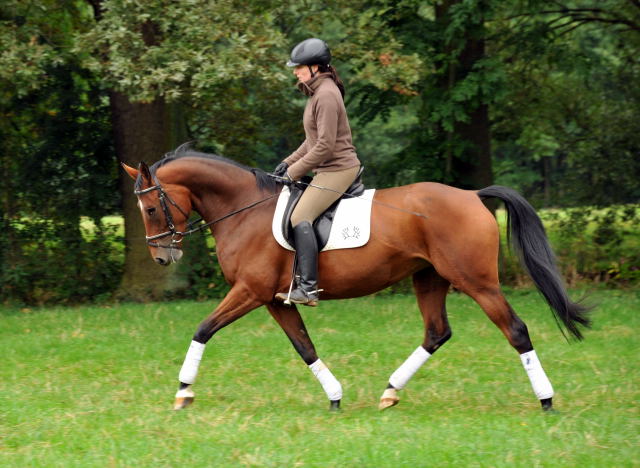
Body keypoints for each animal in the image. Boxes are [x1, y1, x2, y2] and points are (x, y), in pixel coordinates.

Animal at [120, 146, 592, 414]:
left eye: (151, 208)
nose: (163, 256)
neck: (243, 209)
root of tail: (471, 196)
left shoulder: (250, 292)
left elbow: (203, 329)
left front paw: (183, 391)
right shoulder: (273, 299)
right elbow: (304, 347)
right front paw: (334, 396)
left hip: (477, 282)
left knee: (515, 330)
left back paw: (546, 399)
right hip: (429, 279)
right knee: (436, 332)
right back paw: (390, 392)